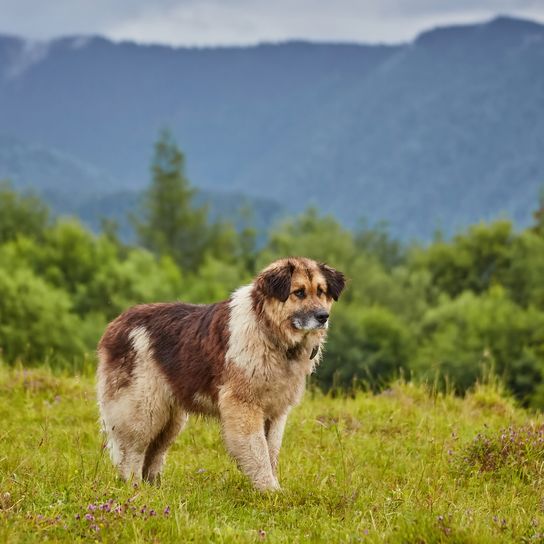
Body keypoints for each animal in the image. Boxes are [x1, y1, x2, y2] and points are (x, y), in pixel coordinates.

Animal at [96, 258, 344, 490]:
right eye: (298, 292)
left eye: (321, 292)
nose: (323, 316)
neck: (267, 330)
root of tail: (116, 324)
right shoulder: (243, 405)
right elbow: (258, 451)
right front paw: (270, 491)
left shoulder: (276, 411)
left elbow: (271, 450)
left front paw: (272, 487)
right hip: (143, 408)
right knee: (133, 451)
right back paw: (135, 487)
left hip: (171, 416)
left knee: (154, 451)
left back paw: (156, 488)